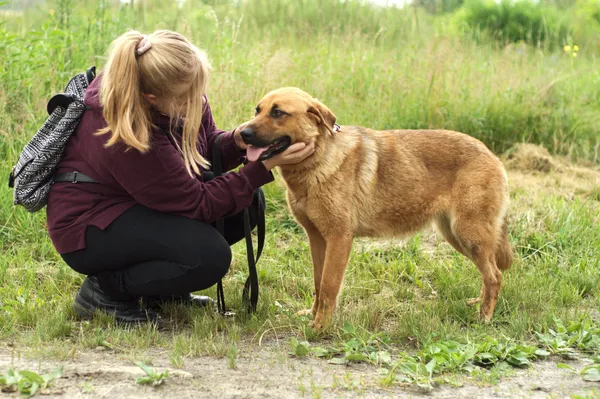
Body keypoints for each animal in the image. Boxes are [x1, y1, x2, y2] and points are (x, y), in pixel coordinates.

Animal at [241, 86, 512, 328]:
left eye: (278, 113)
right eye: (257, 110)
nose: (242, 133)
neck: (318, 158)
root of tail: (491, 155)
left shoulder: (339, 239)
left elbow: (328, 286)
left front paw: (321, 326)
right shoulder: (317, 239)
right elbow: (318, 283)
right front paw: (313, 315)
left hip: (469, 234)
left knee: (494, 275)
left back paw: (484, 316)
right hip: (457, 235)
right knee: (489, 273)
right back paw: (479, 303)